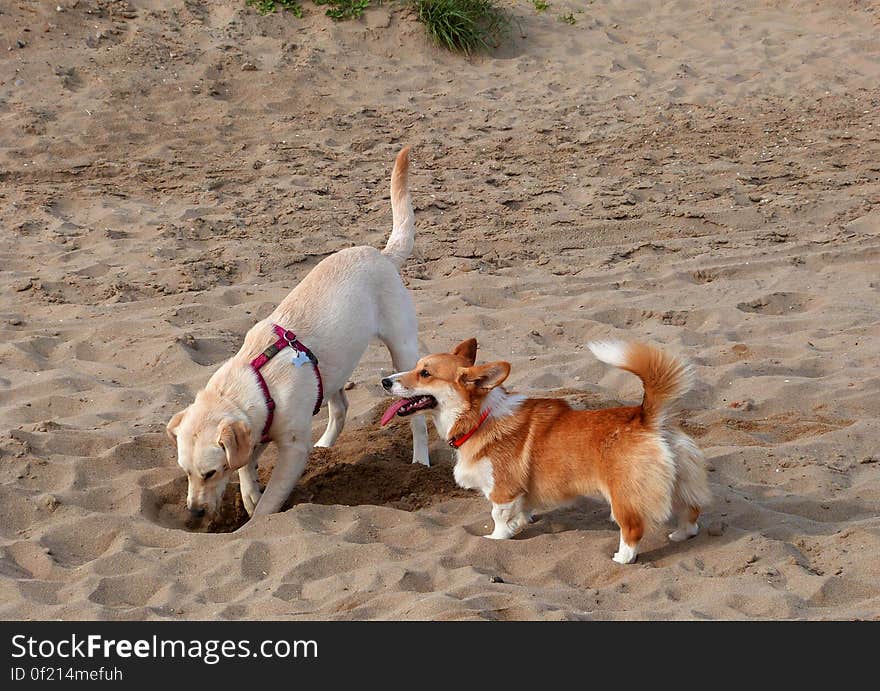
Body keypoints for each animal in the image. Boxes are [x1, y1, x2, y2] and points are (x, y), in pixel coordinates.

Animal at [168, 149, 430, 520]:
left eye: (210, 472)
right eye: (185, 472)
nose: (193, 513)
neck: (257, 382)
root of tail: (380, 254)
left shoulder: (291, 448)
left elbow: (270, 498)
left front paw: (257, 515)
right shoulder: (257, 432)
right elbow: (246, 465)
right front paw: (249, 494)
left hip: (401, 346)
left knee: (417, 418)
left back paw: (420, 460)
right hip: (334, 369)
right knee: (341, 406)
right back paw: (325, 446)